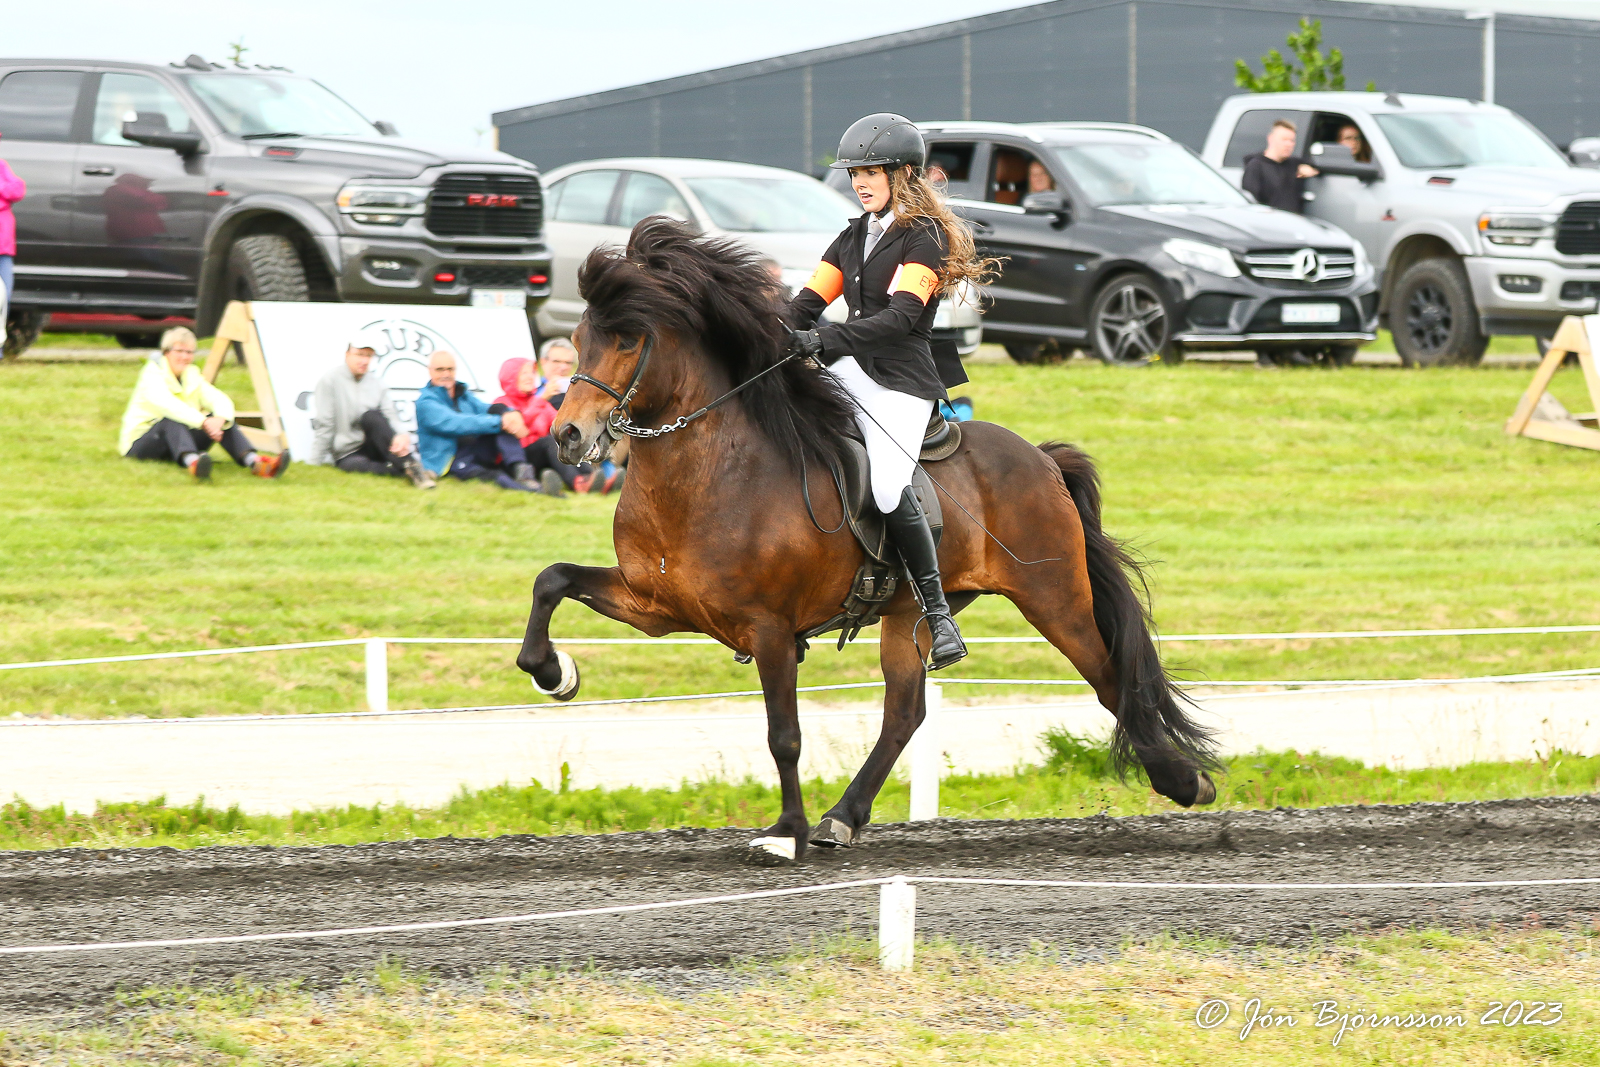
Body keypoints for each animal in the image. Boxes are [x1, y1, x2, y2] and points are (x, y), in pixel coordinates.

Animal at [518, 219, 1216, 870]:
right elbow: (552, 579)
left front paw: (784, 833)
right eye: (577, 340)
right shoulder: (656, 605)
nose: (568, 437)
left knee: (1108, 677)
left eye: (628, 340)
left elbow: (784, 735)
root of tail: (1040, 459)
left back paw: (1185, 783)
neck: (706, 474)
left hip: (1054, 596)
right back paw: (843, 819)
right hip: (910, 612)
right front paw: (555, 673)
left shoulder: (769, 629)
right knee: (905, 713)